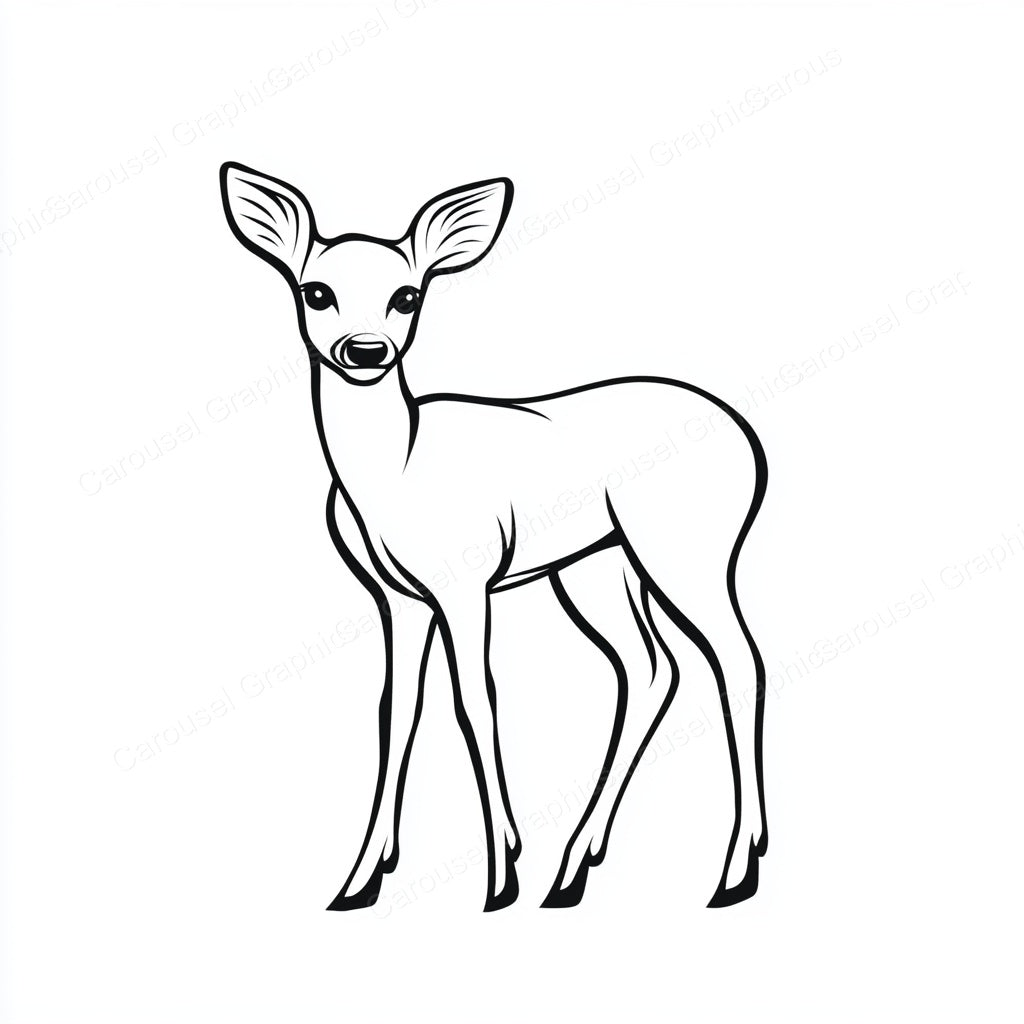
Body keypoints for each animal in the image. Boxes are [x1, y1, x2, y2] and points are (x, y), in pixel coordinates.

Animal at [220, 163, 769, 912]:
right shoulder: (398, 598)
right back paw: (574, 870)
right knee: (652, 668)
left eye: (407, 295)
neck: (394, 473)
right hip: (597, 565)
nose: (366, 352)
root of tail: (749, 442)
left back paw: (734, 871)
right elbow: (397, 708)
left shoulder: (466, 579)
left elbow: (475, 699)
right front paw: (360, 880)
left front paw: (501, 874)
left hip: (688, 548)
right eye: (316, 290)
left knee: (737, 661)